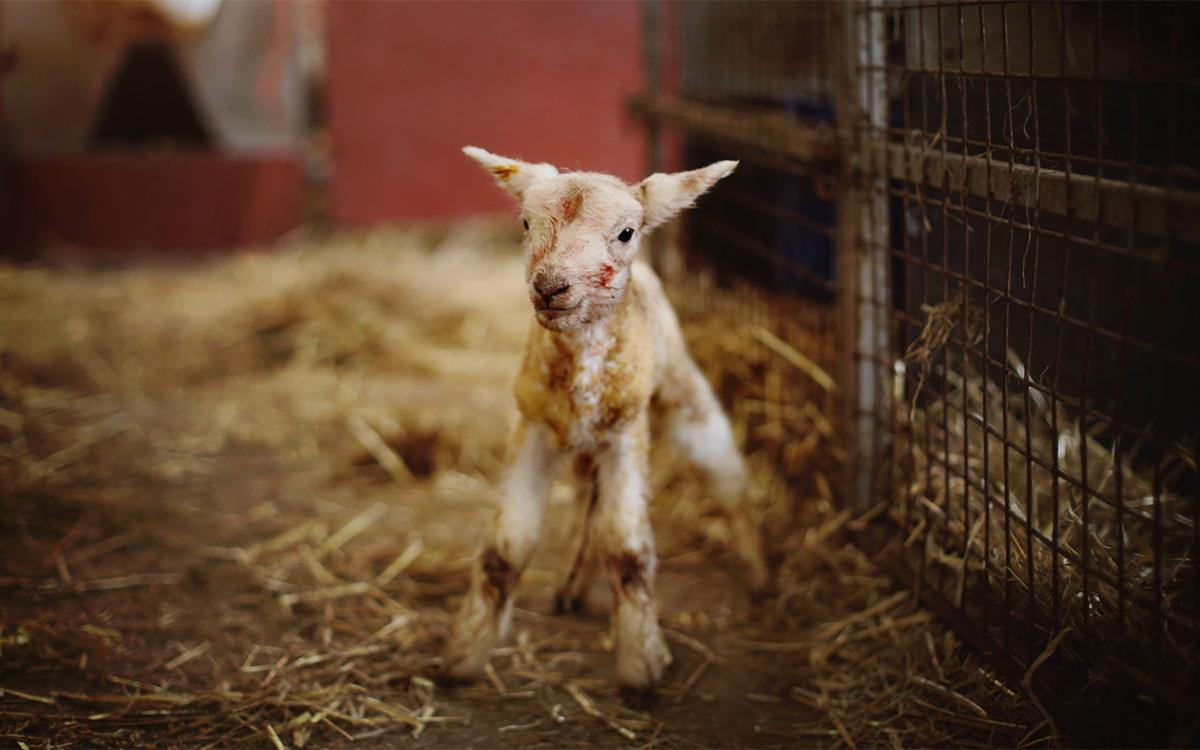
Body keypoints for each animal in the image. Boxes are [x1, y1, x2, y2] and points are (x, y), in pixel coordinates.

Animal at [442, 146, 768, 694]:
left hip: (681, 389)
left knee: (725, 476)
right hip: (581, 448)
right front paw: (463, 657)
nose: (550, 287)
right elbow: (507, 545)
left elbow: (626, 547)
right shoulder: (532, 427)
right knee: (586, 504)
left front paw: (642, 664)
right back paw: (573, 587)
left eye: (626, 233)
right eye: (526, 223)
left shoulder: (626, 434)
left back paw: (758, 574)